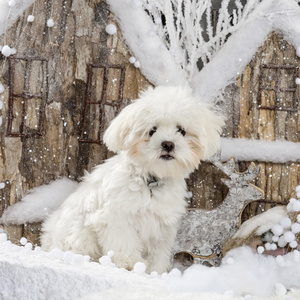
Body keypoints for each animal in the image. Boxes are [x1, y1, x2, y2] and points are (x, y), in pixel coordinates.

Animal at [39, 85, 224, 274]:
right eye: (152, 130)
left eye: (181, 130)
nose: (168, 144)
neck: (151, 180)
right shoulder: (116, 217)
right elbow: (124, 243)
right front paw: (132, 265)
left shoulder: (161, 228)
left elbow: (158, 254)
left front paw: (155, 272)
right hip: (78, 235)